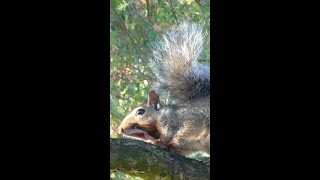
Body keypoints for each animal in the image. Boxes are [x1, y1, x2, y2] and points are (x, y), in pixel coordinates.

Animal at [117, 21, 210, 158]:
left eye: (140, 111)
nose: (121, 129)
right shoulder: (188, 147)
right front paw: (159, 143)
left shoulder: (191, 119)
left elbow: (185, 132)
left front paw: (170, 143)